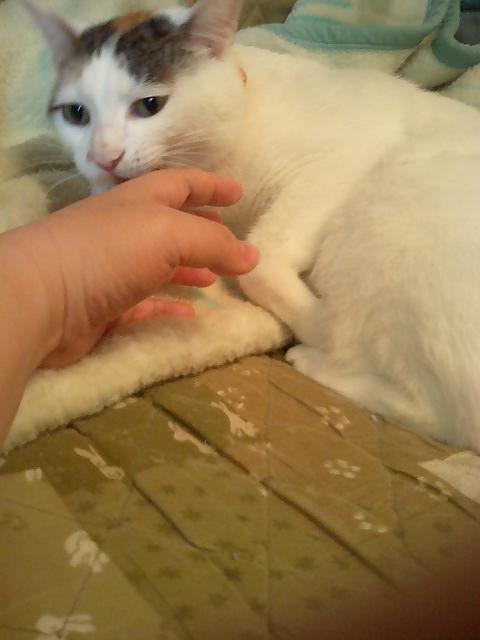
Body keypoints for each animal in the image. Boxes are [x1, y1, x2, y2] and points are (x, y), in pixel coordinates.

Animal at [22, 0, 480, 451]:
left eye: (150, 105)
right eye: (76, 114)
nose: (103, 158)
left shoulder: (339, 158)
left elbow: (261, 265)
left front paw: (323, 327)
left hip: (392, 202)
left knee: (435, 412)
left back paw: (319, 358)